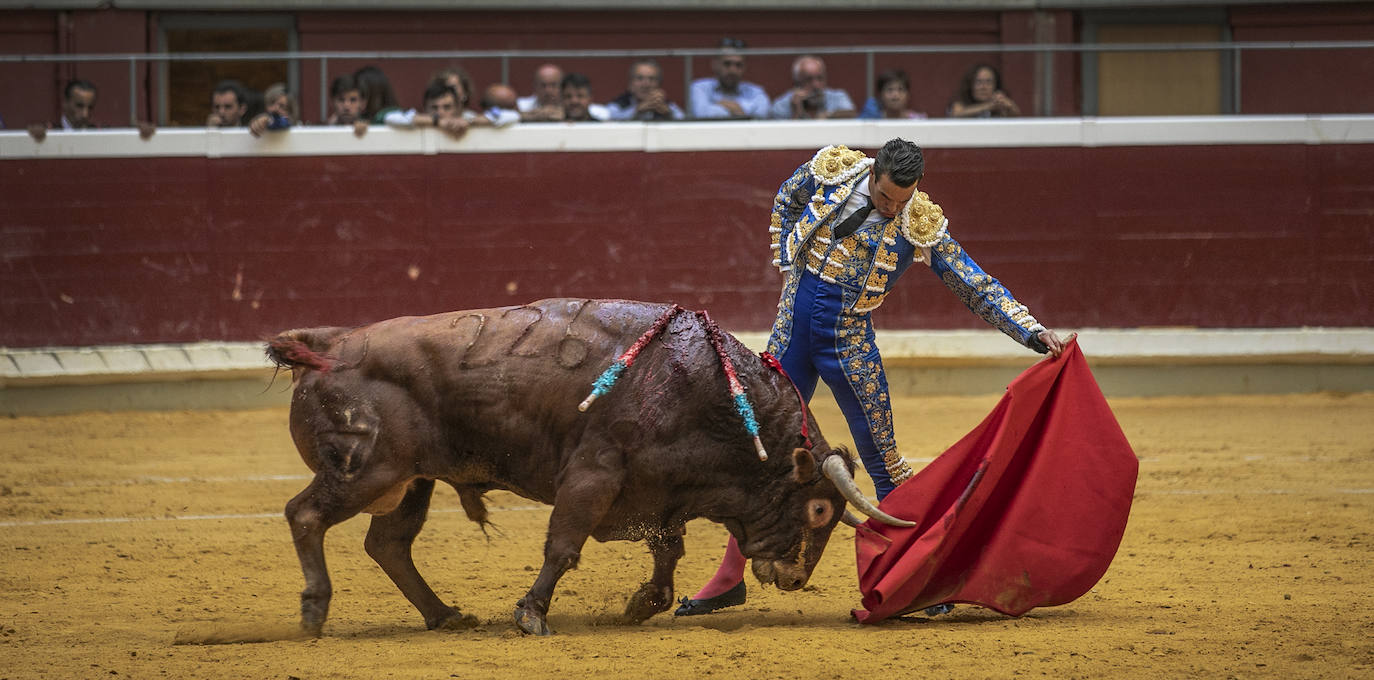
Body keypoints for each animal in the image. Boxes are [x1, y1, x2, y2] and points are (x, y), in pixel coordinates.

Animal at [267, 299, 912, 637]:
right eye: (820, 508)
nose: (797, 578)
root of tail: (327, 346)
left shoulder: (657, 494)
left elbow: (668, 554)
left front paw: (641, 605)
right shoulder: (593, 475)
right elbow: (564, 546)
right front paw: (531, 616)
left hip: (411, 480)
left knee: (389, 543)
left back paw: (445, 614)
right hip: (366, 470)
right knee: (305, 515)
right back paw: (315, 610)